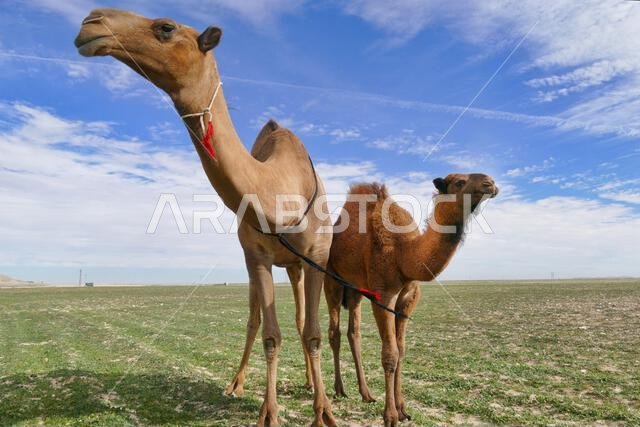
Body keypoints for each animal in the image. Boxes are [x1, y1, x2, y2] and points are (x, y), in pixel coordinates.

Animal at [74, 9, 335, 426]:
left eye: (165, 27)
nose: (91, 22)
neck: (280, 189)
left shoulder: (317, 256)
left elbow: (311, 331)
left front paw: (324, 411)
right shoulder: (256, 255)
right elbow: (269, 333)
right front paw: (268, 412)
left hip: (296, 264)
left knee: (298, 319)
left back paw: (311, 384)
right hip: (263, 263)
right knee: (256, 321)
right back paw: (237, 384)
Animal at [324, 174, 498, 426]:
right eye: (459, 181)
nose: (490, 183)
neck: (403, 253)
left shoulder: (409, 297)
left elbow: (402, 350)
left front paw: (402, 409)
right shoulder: (384, 294)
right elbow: (390, 354)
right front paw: (390, 416)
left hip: (355, 288)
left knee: (353, 333)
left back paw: (366, 393)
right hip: (332, 279)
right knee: (334, 332)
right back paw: (338, 389)